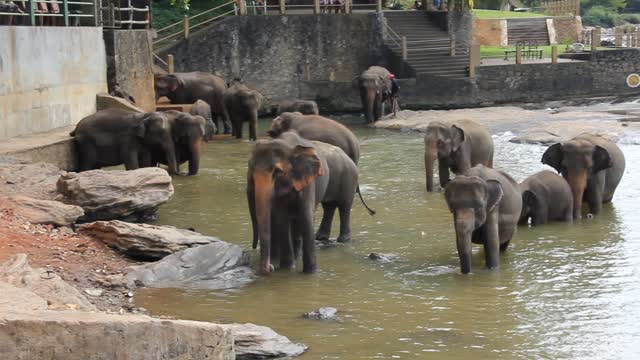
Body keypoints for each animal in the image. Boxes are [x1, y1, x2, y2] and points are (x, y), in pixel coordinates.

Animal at [248, 131, 362, 274]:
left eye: (278, 171)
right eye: (250, 169)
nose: (269, 268)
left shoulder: (308, 183)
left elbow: (306, 217)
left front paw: (310, 272)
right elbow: (282, 219)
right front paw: (287, 268)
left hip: (348, 178)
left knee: (344, 207)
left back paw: (343, 240)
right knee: (329, 207)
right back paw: (320, 238)